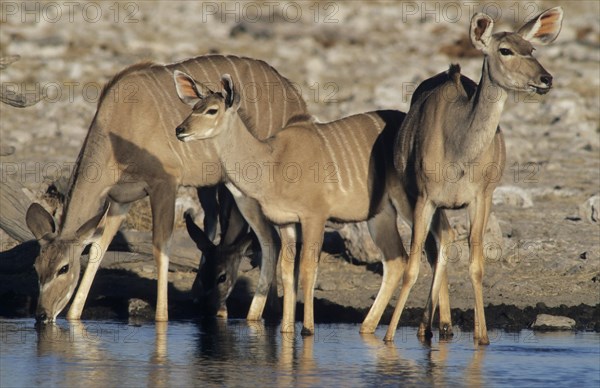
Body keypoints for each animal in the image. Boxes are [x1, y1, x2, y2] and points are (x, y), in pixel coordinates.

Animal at [24, 53, 310, 322]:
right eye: (37, 266)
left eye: (63, 268)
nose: (42, 314)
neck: (121, 121)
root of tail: (296, 98)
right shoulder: (120, 200)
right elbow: (97, 249)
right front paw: (74, 315)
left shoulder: (164, 184)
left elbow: (160, 248)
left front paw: (161, 317)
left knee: (272, 240)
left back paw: (260, 313)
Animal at [171, 73, 452, 336]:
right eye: (194, 106)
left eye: (211, 110)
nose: (180, 130)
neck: (272, 162)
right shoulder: (286, 222)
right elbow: (287, 271)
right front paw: (286, 329)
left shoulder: (314, 216)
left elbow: (307, 269)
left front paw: (307, 328)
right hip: (380, 214)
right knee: (397, 260)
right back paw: (371, 327)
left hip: (412, 202)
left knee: (442, 236)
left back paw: (436, 328)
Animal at [390, 7, 564, 344]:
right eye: (505, 50)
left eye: (532, 49)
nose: (546, 79)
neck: (459, 150)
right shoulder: (425, 197)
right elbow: (411, 267)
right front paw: (387, 337)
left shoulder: (482, 197)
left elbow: (476, 265)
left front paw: (482, 337)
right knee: (436, 246)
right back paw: (429, 328)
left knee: (444, 240)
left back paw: (438, 325)